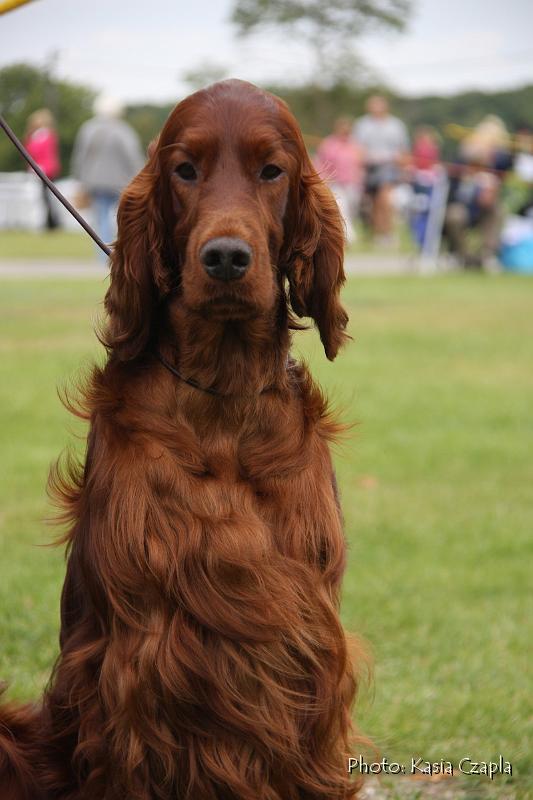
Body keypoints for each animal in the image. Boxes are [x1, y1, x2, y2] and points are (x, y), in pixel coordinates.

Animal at [0, 78, 364, 796]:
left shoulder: (307, 644)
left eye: (271, 170)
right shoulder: (138, 659)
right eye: (185, 170)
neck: (221, 397)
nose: (225, 259)